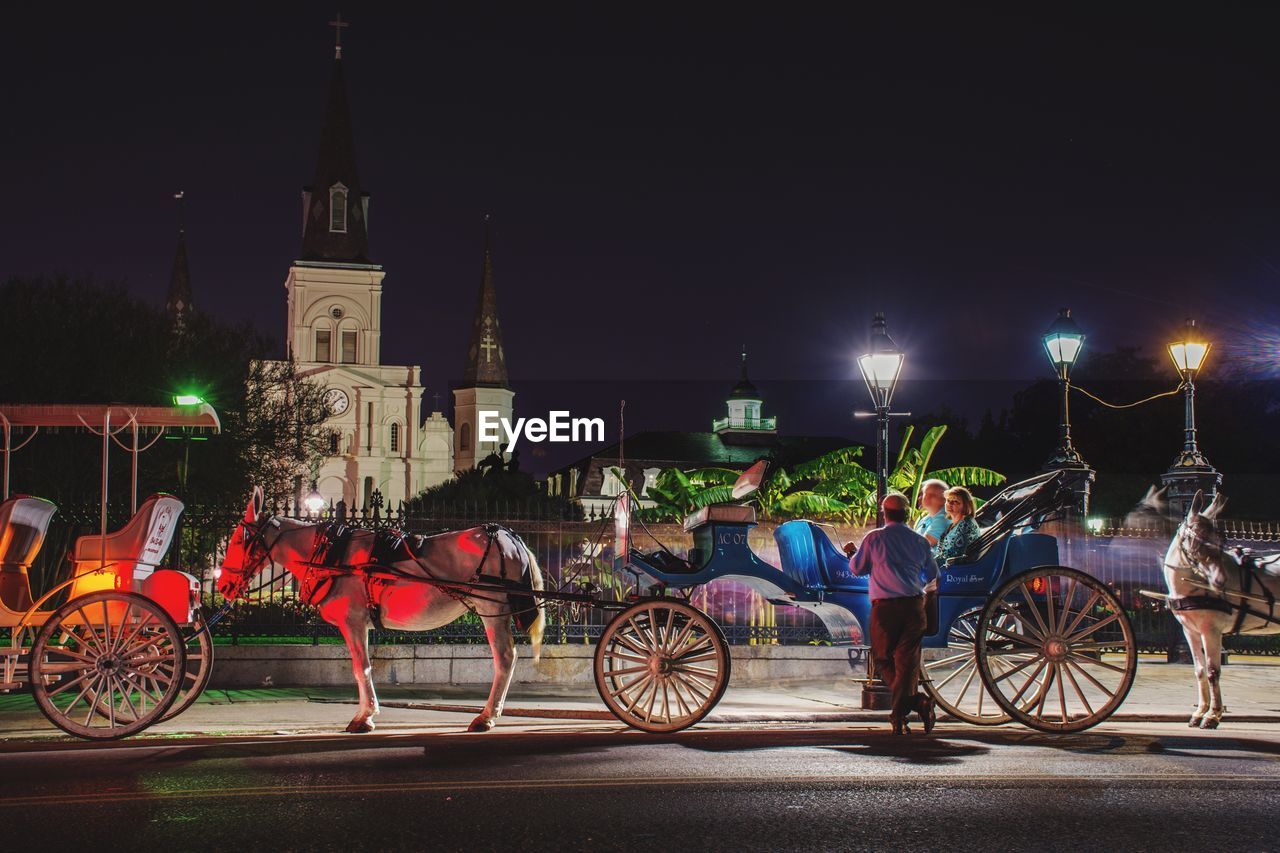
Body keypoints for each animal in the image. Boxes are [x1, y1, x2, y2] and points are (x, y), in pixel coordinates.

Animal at [216, 489, 545, 727]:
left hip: (491, 607)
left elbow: (360, 667)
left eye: (239, 539)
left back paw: (486, 715)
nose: (222, 586)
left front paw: (364, 716)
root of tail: (510, 537)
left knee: (505, 657)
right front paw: (368, 712)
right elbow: (364, 666)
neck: (330, 553)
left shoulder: (352, 621)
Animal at [1162, 491, 1280, 722]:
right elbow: (1199, 670)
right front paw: (1200, 711)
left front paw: (1213, 715)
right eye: (1196, 539)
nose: (1220, 581)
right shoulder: (1190, 630)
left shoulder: (1212, 630)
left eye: (1221, 540)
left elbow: (1212, 671)